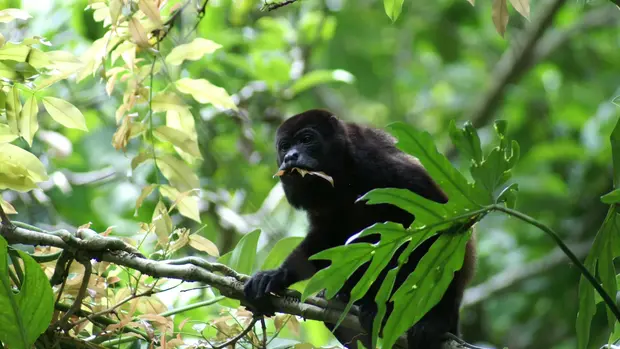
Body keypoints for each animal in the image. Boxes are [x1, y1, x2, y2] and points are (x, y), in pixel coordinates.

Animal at [242, 110, 474, 348]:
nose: (290, 157)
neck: (343, 175)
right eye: (285, 146)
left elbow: (442, 225)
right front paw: (276, 275)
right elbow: (324, 241)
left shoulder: (385, 166)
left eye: (307, 139)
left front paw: (427, 318)